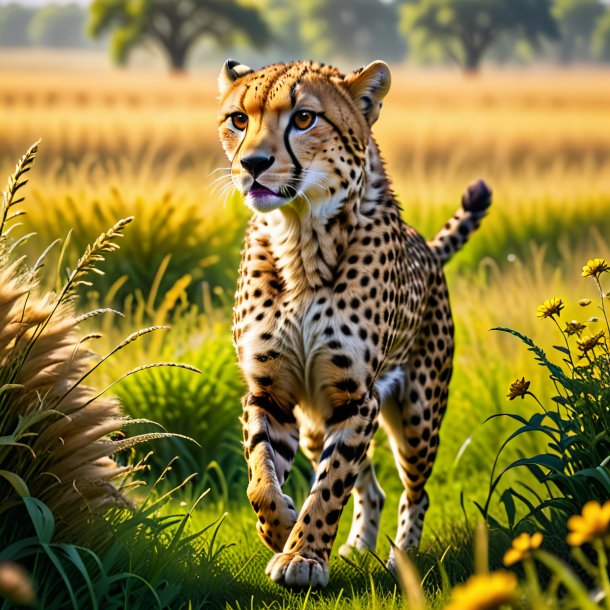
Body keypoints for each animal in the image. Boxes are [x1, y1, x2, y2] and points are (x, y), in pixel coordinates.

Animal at [216, 59, 486, 588]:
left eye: (304, 118)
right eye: (239, 119)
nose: (252, 163)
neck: (299, 238)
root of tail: (427, 247)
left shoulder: (356, 397)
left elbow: (329, 487)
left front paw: (303, 557)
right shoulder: (270, 392)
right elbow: (260, 475)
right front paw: (281, 528)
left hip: (418, 418)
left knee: (415, 490)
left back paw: (401, 557)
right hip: (316, 422)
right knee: (372, 489)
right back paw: (360, 546)